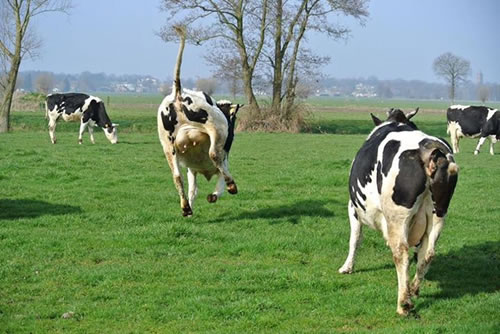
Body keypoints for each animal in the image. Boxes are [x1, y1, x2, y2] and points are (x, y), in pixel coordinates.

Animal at [157, 26, 241, 219]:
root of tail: (178, 93)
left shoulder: (191, 170)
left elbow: (192, 190)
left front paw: (190, 207)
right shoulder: (223, 162)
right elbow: (219, 186)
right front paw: (221, 191)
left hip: (168, 145)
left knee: (176, 176)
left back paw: (185, 207)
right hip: (216, 129)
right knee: (213, 154)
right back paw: (232, 184)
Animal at [338, 107, 458, 316]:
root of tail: (428, 151)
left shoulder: (352, 206)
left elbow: (355, 239)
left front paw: (347, 267)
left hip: (397, 217)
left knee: (400, 252)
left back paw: (404, 303)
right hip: (438, 213)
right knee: (428, 252)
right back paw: (414, 289)